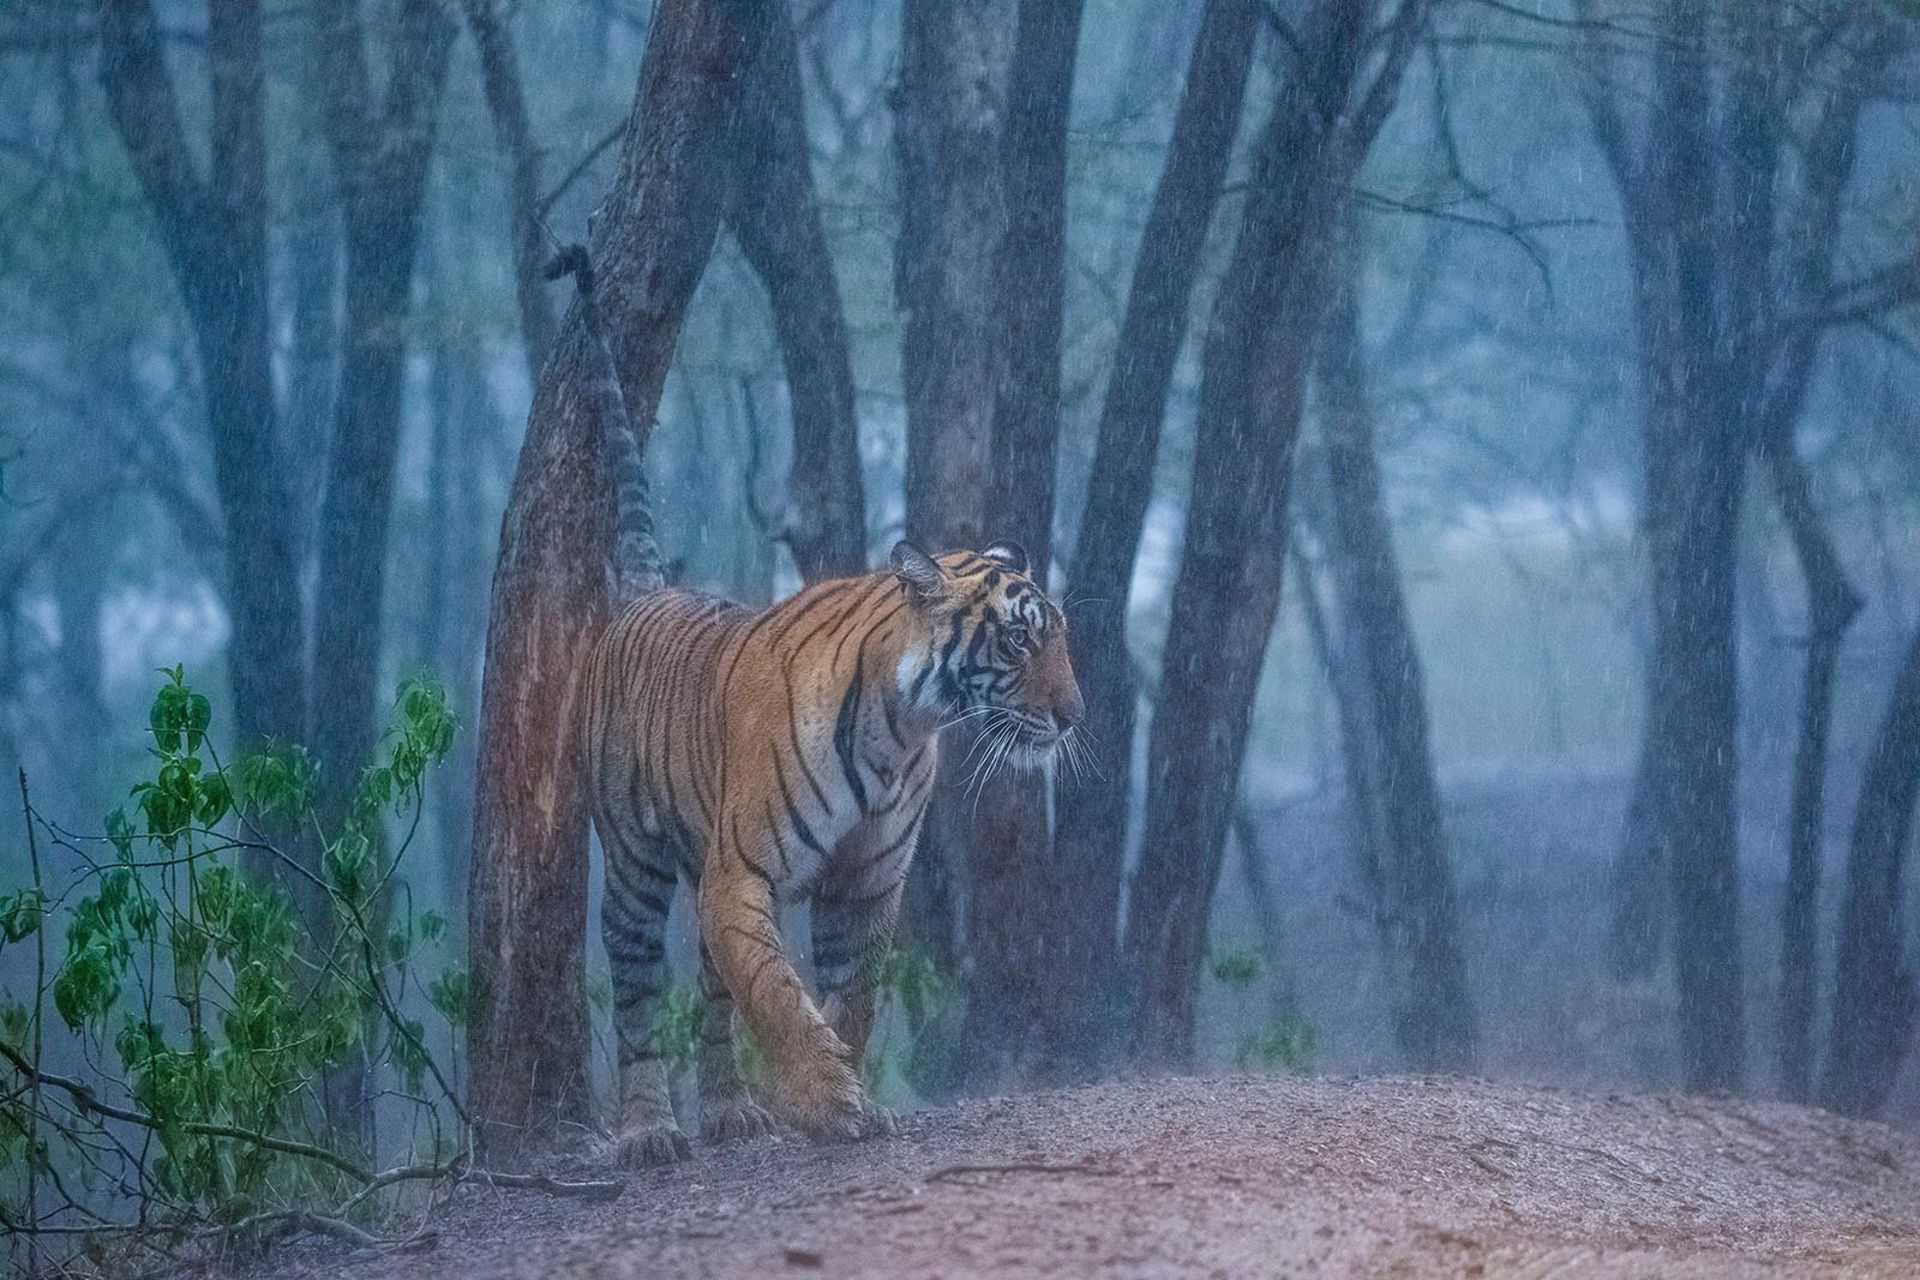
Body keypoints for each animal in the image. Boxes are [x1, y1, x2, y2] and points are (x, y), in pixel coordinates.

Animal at [576, 537, 1090, 1166]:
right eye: (1018, 639)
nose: (1074, 716)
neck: (900, 729)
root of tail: (650, 596)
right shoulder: (741, 872)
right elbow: (773, 989)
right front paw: (824, 1102)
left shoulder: (866, 881)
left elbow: (854, 994)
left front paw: (857, 1102)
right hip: (634, 870)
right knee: (636, 999)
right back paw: (649, 1132)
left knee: (715, 994)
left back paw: (730, 1111)